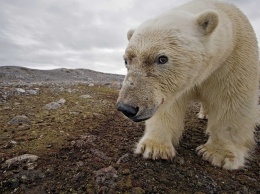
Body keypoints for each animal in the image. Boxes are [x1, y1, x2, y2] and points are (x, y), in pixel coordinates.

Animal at [117, 0, 258, 170]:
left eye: (162, 58)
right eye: (126, 60)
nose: (126, 108)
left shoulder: (233, 61)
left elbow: (232, 101)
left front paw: (218, 154)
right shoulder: (174, 86)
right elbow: (169, 105)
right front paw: (154, 147)